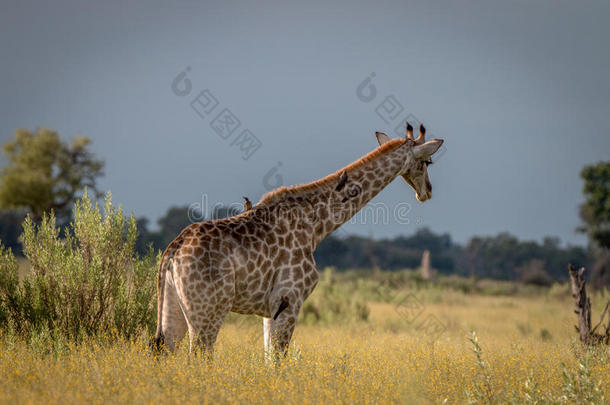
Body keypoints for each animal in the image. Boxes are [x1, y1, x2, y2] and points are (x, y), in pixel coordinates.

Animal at [152, 122, 442, 356]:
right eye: (428, 162)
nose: (427, 191)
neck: (316, 226)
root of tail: (172, 252)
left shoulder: (269, 311)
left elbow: (269, 359)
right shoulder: (289, 299)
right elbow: (278, 361)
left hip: (173, 310)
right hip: (208, 311)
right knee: (199, 358)